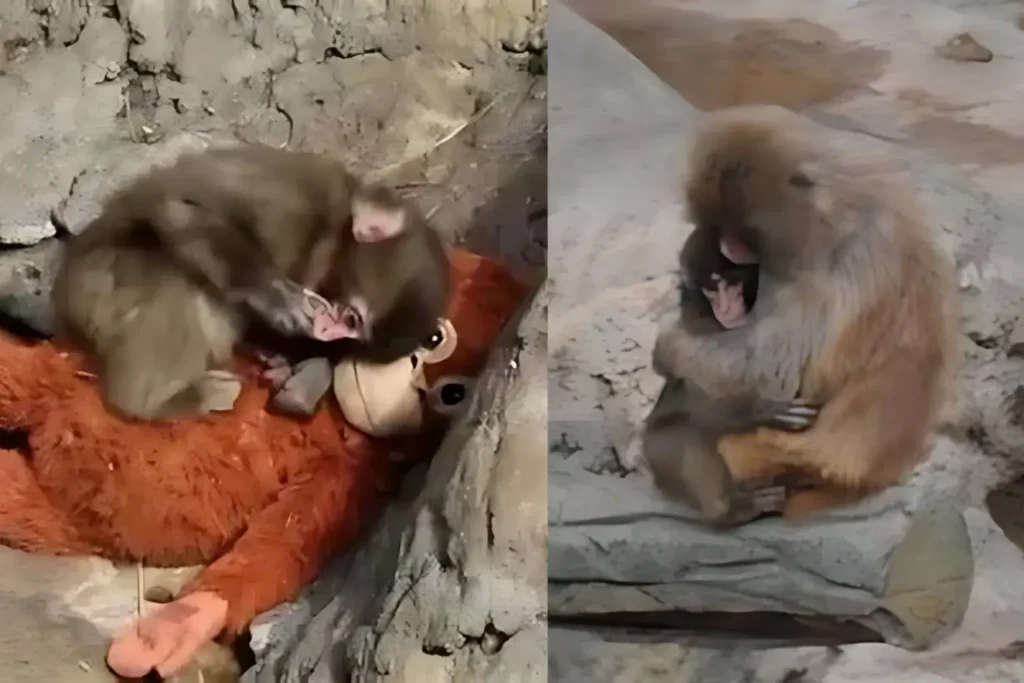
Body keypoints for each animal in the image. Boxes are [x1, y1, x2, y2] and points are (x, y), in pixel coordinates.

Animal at [53, 144, 449, 422]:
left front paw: (289, 365)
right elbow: (180, 208)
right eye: (351, 318)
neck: (330, 230)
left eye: (352, 335)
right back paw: (158, 401)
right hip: (103, 281)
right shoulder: (288, 206)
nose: (328, 333)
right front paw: (276, 297)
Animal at [651, 104, 958, 520]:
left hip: (761, 452)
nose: (730, 249)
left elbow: (769, 368)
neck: (837, 209)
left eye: (741, 233)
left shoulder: (823, 271)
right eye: (724, 230)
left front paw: (668, 348)